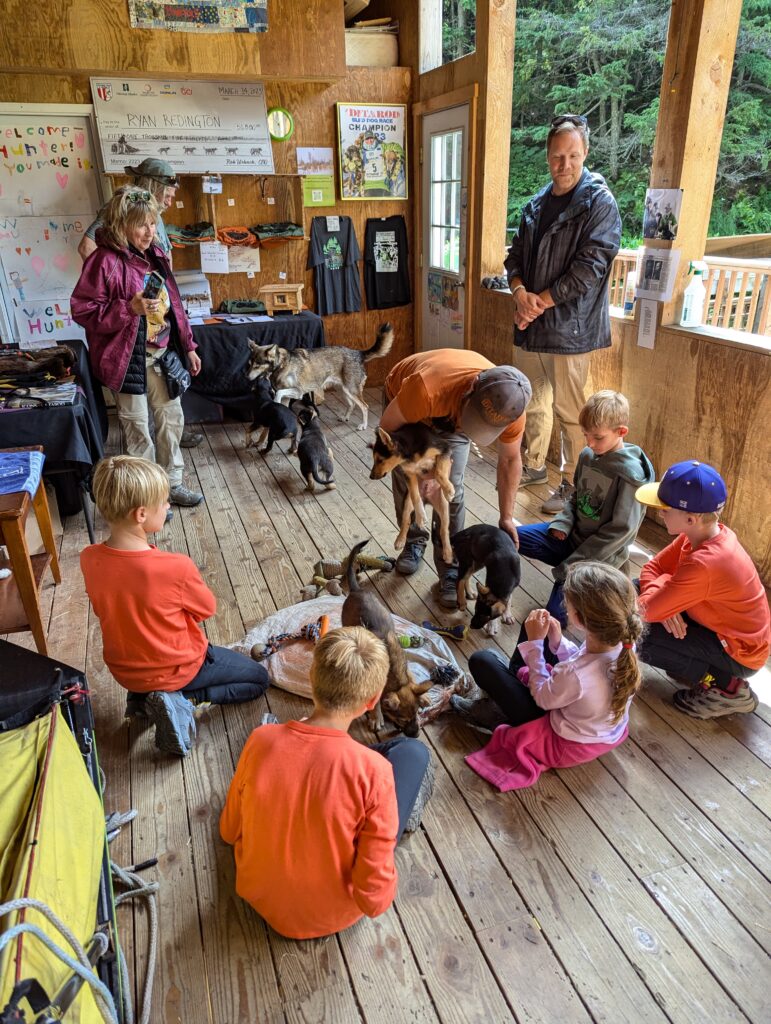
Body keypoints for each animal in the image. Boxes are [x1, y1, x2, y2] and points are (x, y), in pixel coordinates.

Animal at [341, 536, 434, 737]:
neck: (394, 678)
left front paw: (424, 696)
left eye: (417, 714)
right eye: (402, 720)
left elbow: (412, 680)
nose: (416, 735)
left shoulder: (405, 670)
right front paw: (376, 717)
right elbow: (376, 702)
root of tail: (357, 590)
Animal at [368, 425, 454, 569]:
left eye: (380, 459)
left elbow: (438, 471)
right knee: (406, 520)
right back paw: (400, 539)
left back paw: (447, 553)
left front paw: (448, 490)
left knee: (444, 530)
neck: (409, 454)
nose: (371, 477)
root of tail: (428, 499)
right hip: (407, 501)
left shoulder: (445, 449)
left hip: (443, 506)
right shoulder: (409, 473)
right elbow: (415, 496)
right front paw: (421, 516)